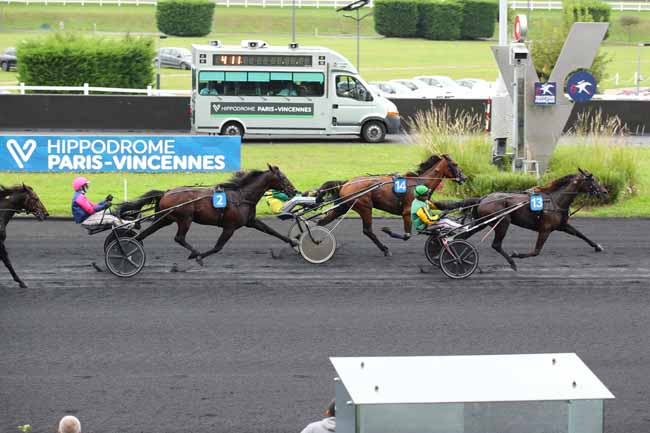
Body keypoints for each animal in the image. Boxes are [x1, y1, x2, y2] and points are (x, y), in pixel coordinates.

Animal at [116, 164, 296, 264]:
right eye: (283, 177)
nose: (294, 191)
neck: (241, 196)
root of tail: (166, 192)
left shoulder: (251, 221)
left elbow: (272, 231)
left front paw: (293, 242)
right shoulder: (229, 227)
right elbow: (217, 247)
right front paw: (199, 257)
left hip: (165, 218)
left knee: (144, 234)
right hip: (185, 218)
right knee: (179, 238)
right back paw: (195, 253)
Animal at [316, 154, 464, 255]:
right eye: (455, 164)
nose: (464, 178)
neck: (419, 183)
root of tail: (346, 183)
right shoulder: (407, 212)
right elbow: (407, 235)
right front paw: (387, 230)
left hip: (343, 207)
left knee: (321, 222)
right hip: (365, 207)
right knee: (367, 230)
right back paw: (385, 249)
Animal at [464, 170, 604, 268]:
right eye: (592, 180)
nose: (605, 191)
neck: (555, 201)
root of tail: (483, 198)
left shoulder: (562, 225)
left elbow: (580, 234)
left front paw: (597, 247)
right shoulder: (545, 229)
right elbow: (536, 251)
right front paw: (516, 254)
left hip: (482, 222)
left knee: (466, 235)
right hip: (503, 222)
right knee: (496, 244)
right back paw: (512, 263)